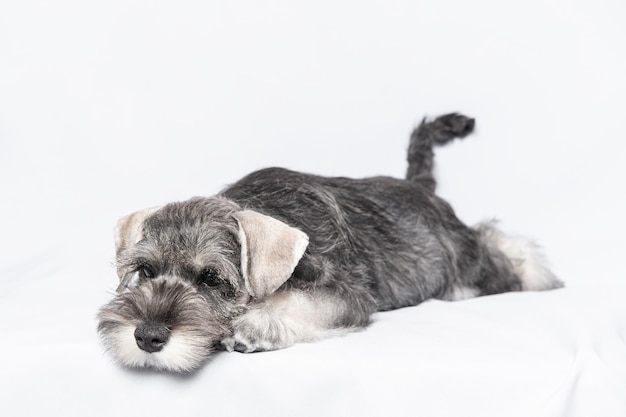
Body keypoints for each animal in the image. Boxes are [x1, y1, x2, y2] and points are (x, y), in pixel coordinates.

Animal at [97, 113, 560, 370]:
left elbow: (300, 302)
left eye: (211, 278)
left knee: (500, 249)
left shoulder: (346, 293)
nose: (147, 337)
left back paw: (542, 273)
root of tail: (421, 188)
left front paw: (255, 325)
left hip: (468, 263)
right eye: (146, 271)